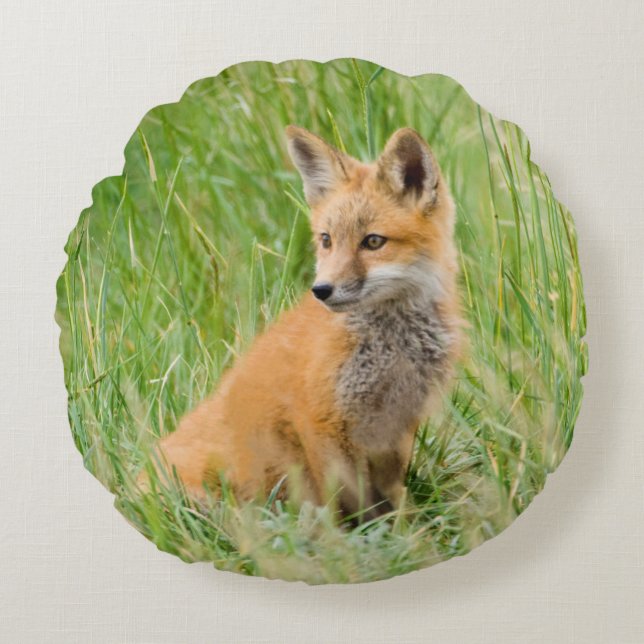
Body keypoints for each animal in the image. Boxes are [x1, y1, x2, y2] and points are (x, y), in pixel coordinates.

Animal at [144, 125, 462, 519]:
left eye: (373, 241)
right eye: (326, 240)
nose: (321, 290)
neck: (391, 348)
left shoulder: (397, 426)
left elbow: (391, 495)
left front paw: (408, 526)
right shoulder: (319, 421)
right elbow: (348, 501)